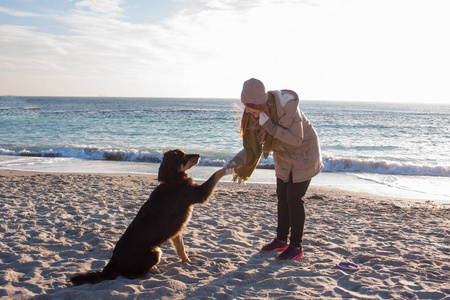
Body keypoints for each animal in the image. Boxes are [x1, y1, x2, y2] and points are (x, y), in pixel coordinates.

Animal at [71, 150, 227, 286]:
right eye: (184, 156)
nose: (199, 155)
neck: (171, 179)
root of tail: (113, 263)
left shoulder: (176, 232)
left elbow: (181, 249)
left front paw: (188, 262)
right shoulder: (200, 194)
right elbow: (215, 174)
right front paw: (227, 167)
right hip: (155, 252)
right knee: (132, 274)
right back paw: (153, 269)